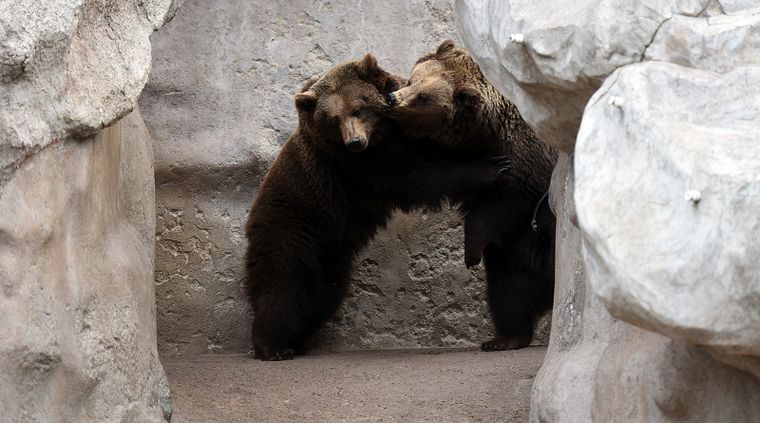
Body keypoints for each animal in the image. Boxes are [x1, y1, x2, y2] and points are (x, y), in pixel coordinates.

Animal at [244, 54, 510, 360]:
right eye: (333, 119)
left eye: (358, 109)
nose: (354, 141)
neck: (380, 137)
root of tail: (251, 222)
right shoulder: (358, 168)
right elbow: (416, 177)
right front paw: (492, 167)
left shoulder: (394, 141)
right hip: (291, 229)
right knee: (283, 286)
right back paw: (273, 346)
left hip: (329, 252)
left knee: (321, 295)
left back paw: (298, 340)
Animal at [387, 40, 559, 351]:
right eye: (412, 79)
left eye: (423, 97)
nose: (393, 98)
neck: (487, 131)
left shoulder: (527, 158)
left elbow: (505, 200)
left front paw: (470, 252)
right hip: (517, 260)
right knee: (508, 293)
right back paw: (504, 338)